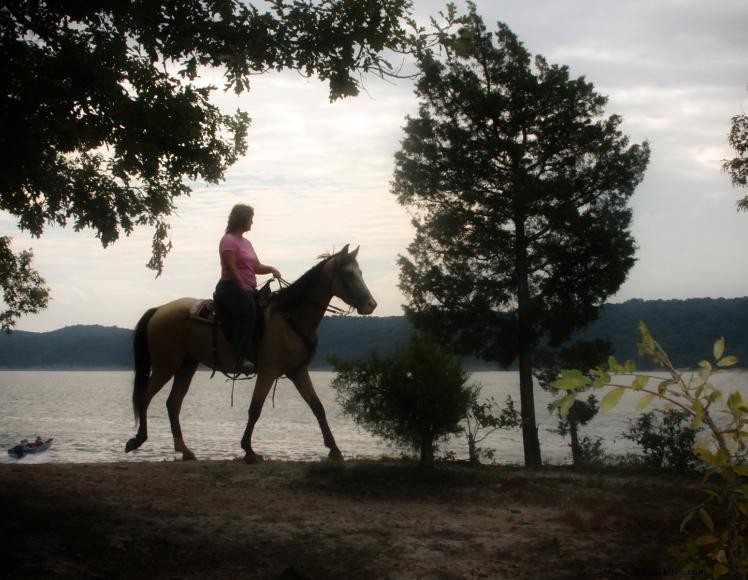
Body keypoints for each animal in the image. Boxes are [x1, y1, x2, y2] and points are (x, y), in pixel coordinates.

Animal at [126, 245, 380, 462]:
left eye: (360, 272)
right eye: (348, 274)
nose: (371, 304)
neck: (288, 318)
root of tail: (159, 310)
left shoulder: (298, 371)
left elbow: (317, 407)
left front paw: (335, 450)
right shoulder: (268, 371)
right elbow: (255, 409)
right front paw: (249, 450)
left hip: (186, 365)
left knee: (173, 403)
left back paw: (185, 450)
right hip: (165, 365)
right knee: (145, 397)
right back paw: (138, 440)